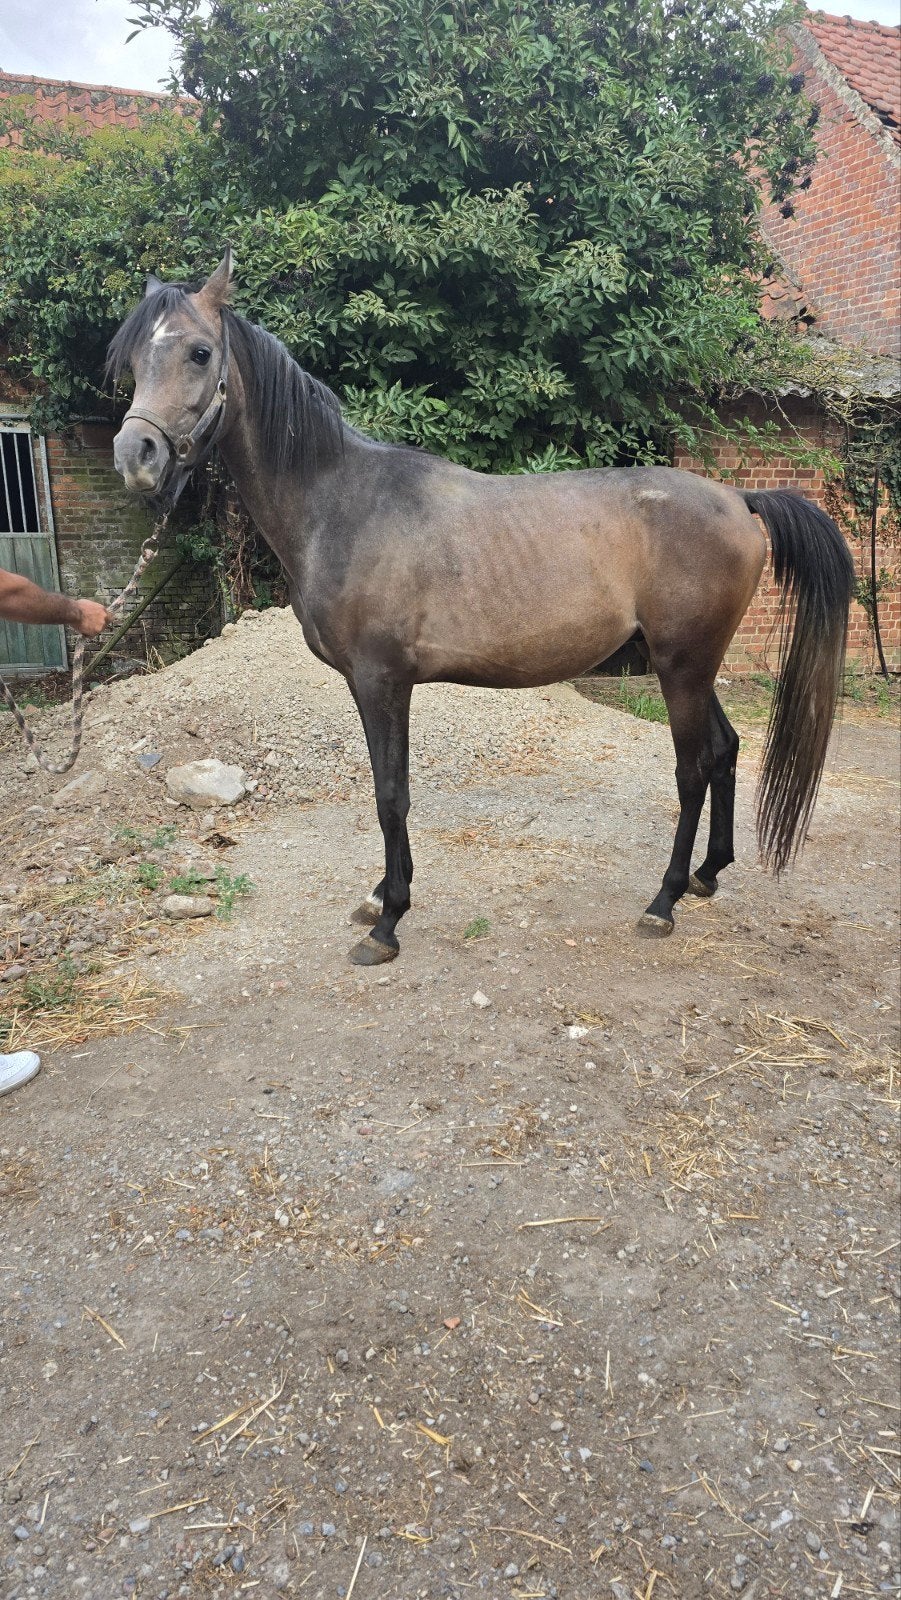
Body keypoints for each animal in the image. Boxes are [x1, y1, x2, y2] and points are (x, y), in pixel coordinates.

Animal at [108, 252, 854, 966]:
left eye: (200, 352)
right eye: (136, 359)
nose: (135, 456)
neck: (342, 504)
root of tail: (738, 498)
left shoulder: (381, 681)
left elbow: (391, 794)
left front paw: (388, 922)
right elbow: (387, 788)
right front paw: (380, 897)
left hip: (682, 668)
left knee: (693, 770)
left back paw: (663, 900)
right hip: (688, 666)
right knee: (725, 751)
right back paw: (706, 874)